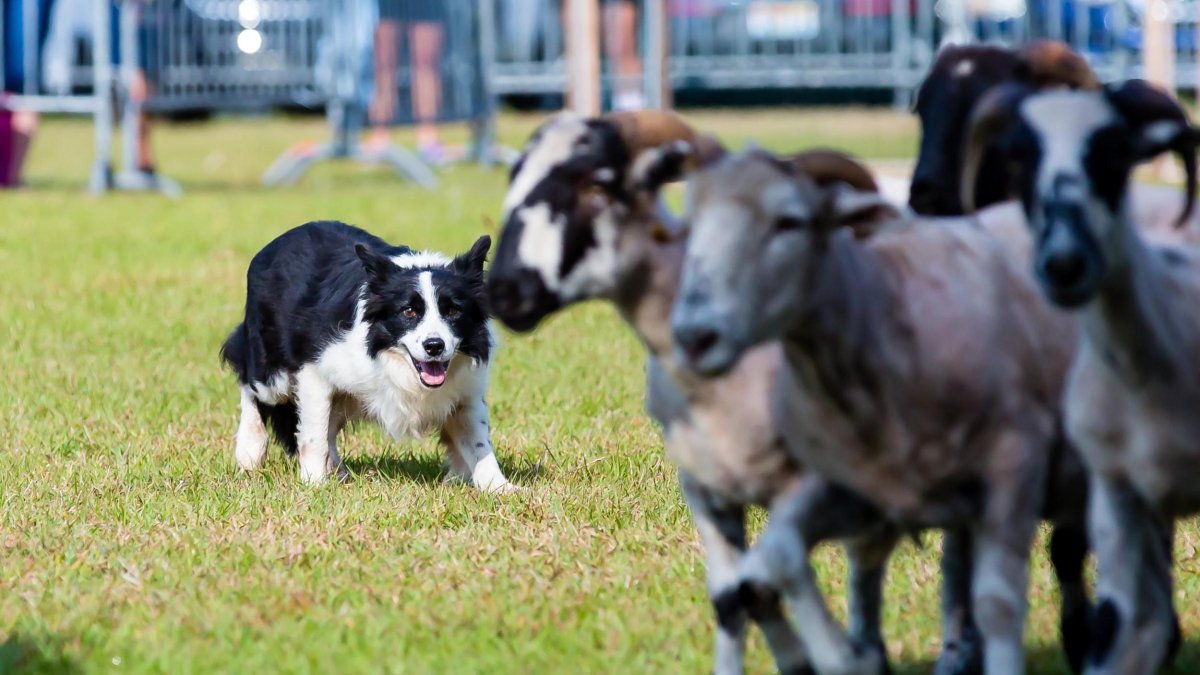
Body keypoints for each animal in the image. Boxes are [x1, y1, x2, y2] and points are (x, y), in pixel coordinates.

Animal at [223, 220, 513, 487]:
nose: (434, 346)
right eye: (409, 311)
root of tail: (276, 243)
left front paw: (500, 488)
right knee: (249, 383)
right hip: (273, 374)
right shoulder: (315, 370)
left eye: (453, 311)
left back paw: (338, 472)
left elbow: (478, 443)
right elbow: (314, 433)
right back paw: (250, 451)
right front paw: (314, 484)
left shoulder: (466, 392)